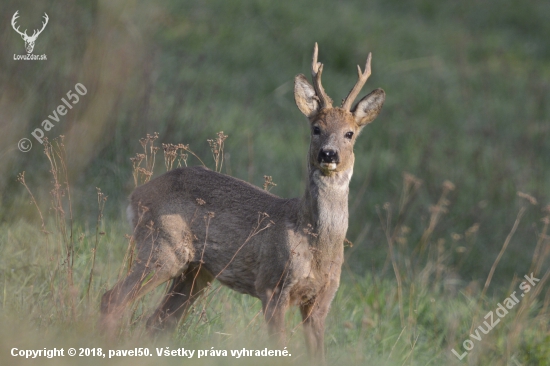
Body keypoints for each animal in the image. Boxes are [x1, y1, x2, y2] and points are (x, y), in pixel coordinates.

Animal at [101, 43, 386, 364]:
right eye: (316, 128)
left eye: (350, 133)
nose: (328, 154)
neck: (315, 243)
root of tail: (136, 195)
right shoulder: (272, 286)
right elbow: (278, 352)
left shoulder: (321, 301)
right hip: (162, 248)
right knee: (112, 300)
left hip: (196, 271)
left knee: (156, 322)